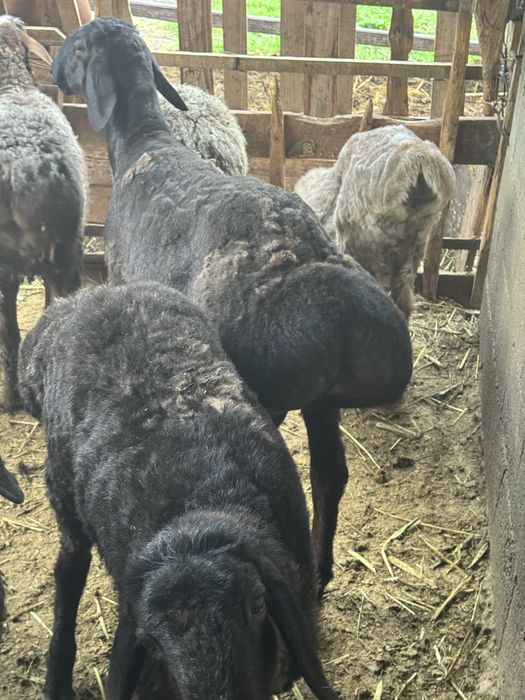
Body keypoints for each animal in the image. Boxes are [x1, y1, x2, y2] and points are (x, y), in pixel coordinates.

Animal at [17, 281, 338, 700]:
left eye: (257, 604)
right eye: (149, 641)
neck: (196, 505)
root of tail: (87, 296)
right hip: (62, 488)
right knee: (69, 569)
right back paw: (57, 678)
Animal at [52, 18, 413, 590]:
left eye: (76, 45)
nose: (52, 69)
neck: (145, 143)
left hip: (267, 393)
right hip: (322, 401)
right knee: (330, 477)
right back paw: (320, 570)